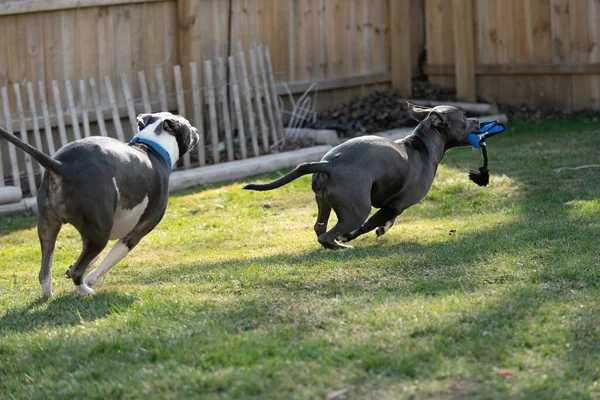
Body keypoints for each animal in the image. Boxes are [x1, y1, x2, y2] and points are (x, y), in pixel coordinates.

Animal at [244, 101, 478, 248]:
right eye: (464, 118)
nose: (478, 121)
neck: (423, 144)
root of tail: (328, 164)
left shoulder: (393, 205)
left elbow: (386, 221)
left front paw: (383, 228)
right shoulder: (397, 204)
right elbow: (369, 225)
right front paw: (354, 236)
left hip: (324, 203)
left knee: (319, 227)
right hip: (356, 210)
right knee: (329, 234)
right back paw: (341, 246)